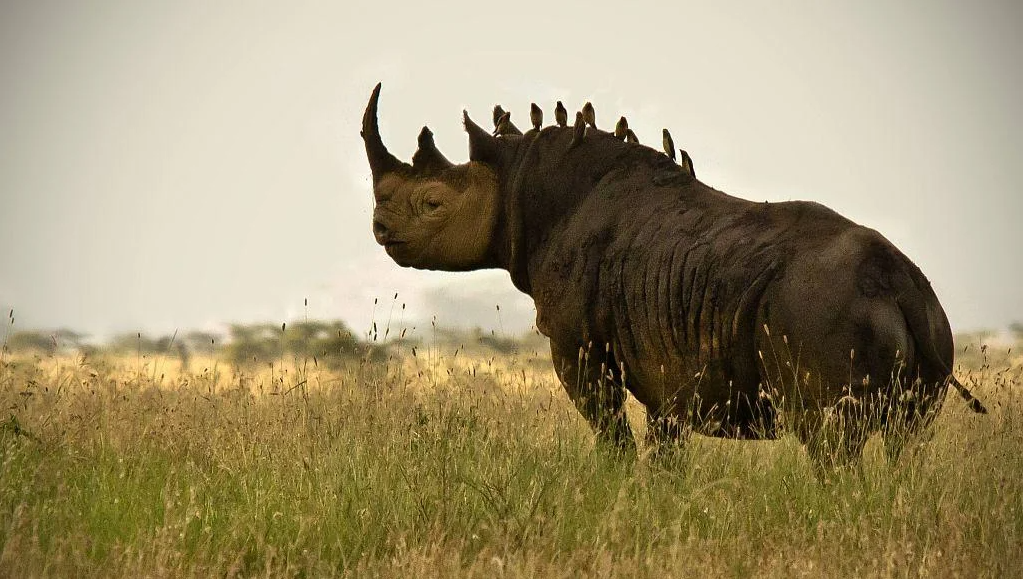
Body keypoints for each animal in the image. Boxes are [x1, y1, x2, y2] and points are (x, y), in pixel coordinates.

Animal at [360, 83, 985, 471]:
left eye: (433, 204)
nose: (379, 228)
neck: (515, 182)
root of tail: (898, 281)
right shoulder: (669, 372)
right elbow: (666, 446)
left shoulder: (577, 345)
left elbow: (610, 433)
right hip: (931, 316)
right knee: (908, 445)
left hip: (818, 310)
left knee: (831, 445)